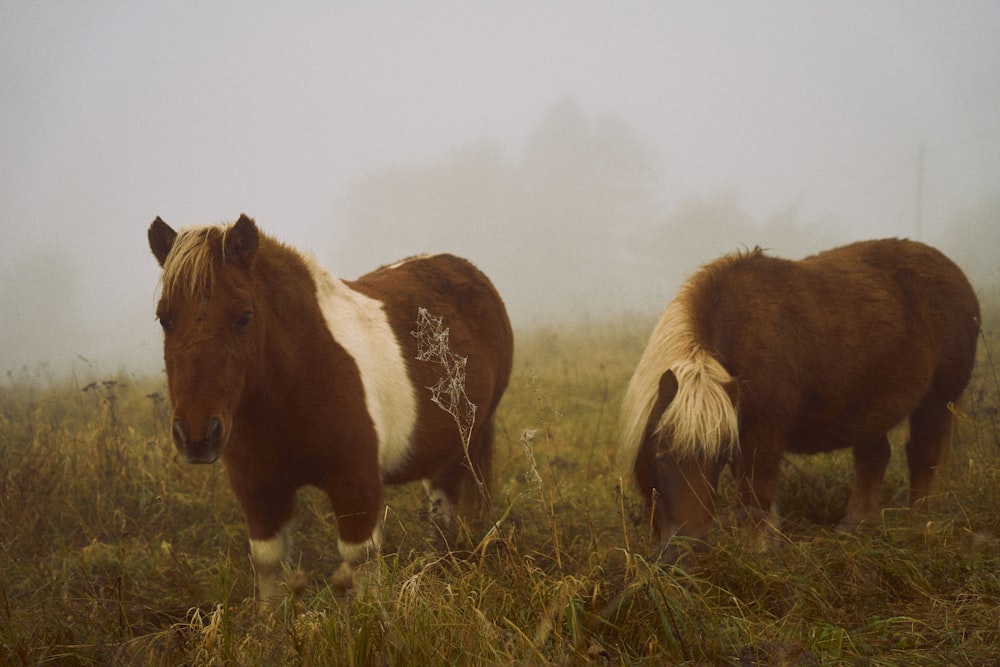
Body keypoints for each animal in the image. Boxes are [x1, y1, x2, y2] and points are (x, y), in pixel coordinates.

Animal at [146, 215, 516, 604]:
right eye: (164, 319)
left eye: (244, 317)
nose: (196, 434)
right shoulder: (259, 491)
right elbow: (268, 564)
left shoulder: (356, 483)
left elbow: (360, 560)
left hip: (465, 446)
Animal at [620, 239, 980, 552]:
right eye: (663, 454)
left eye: (719, 458)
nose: (690, 546)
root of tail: (956, 274)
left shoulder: (762, 435)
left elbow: (756, 495)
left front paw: (758, 552)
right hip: (870, 410)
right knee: (874, 458)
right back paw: (853, 525)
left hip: (937, 401)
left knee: (923, 455)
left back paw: (916, 523)